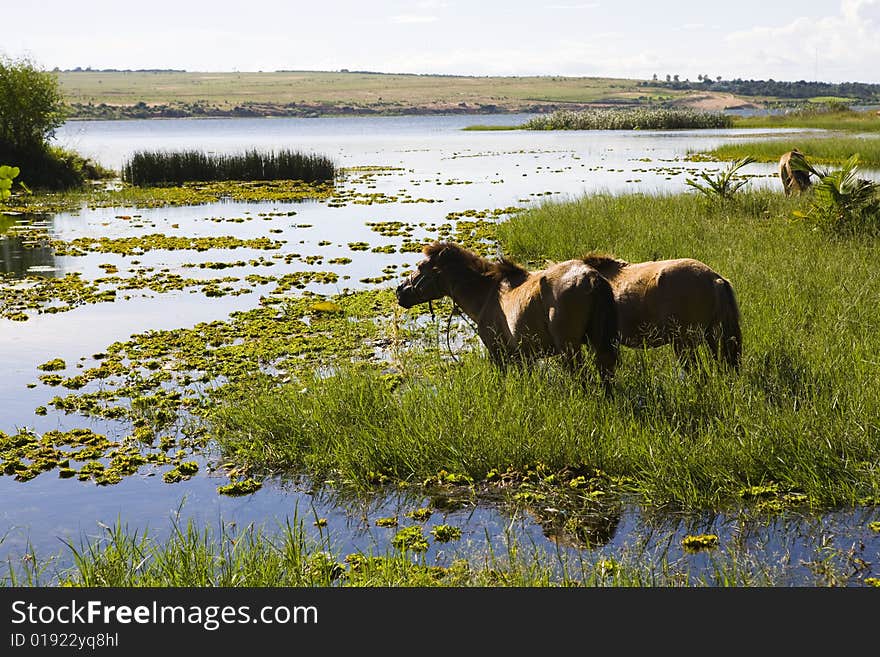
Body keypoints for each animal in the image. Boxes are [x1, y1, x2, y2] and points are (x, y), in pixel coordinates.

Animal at [398, 242, 620, 392]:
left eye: (420, 267)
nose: (400, 291)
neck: (486, 295)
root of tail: (590, 277)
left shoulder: (497, 354)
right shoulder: (523, 357)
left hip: (569, 348)